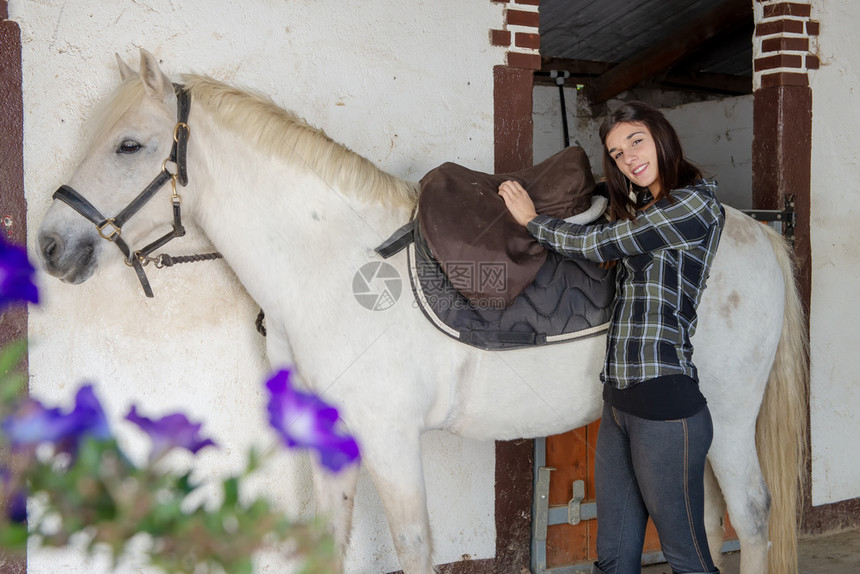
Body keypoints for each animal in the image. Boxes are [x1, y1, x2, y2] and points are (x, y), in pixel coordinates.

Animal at [38, 50, 808, 574]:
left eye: (129, 144)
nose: (49, 245)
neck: (329, 264)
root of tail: (754, 231)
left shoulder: (390, 441)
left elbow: (413, 548)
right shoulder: (330, 439)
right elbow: (328, 540)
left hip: (729, 417)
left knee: (751, 519)